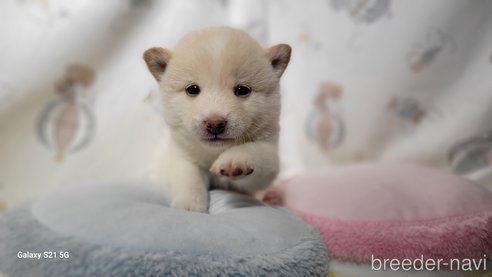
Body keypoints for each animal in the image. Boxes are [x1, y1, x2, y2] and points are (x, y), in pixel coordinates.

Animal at [142, 26, 290, 211]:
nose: (215, 123)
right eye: (192, 89)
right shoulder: (180, 155)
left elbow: (256, 151)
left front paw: (235, 160)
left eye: (242, 90)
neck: (214, 153)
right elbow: (188, 176)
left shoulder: (267, 157)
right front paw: (189, 205)